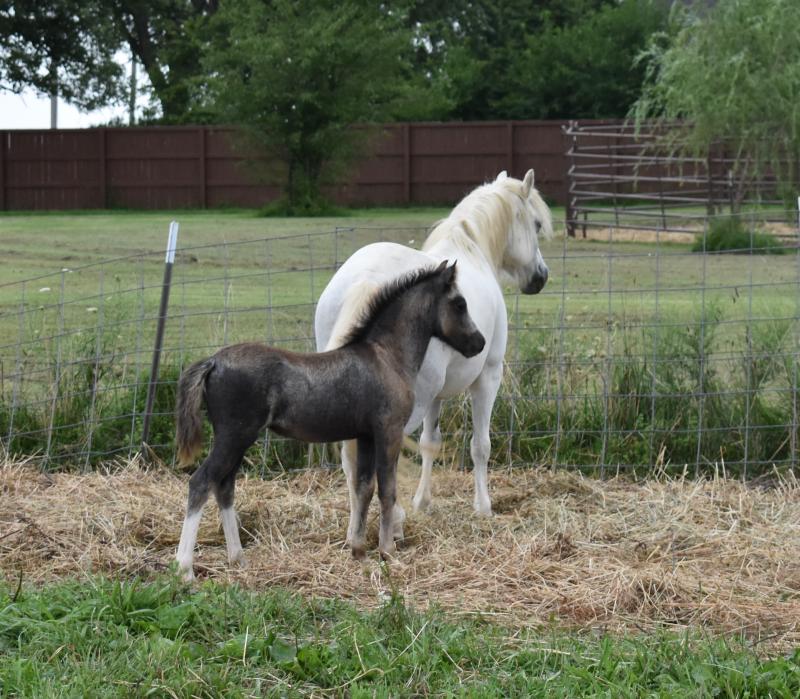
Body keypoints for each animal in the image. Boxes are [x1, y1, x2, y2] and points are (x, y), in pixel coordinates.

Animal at [174, 260, 485, 580]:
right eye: (460, 304)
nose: (479, 343)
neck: (387, 357)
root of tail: (213, 361)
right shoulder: (389, 431)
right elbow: (387, 490)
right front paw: (387, 551)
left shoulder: (366, 435)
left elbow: (363, 488)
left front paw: (359, 550)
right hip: (234, 436)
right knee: (201, 483)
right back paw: (185, 568)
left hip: (239, 439)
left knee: (224, 486)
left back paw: (238, 558)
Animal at [314, 170, 552, 534]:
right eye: (536, 224)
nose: (540, 277)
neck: (472, 248)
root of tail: (367, 280)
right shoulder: (488, 377)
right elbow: (480, 446)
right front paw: (483, 507)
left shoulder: (436, 396)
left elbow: (430, 443)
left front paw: (423, 503)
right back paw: (394, 520)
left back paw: (359, 522)